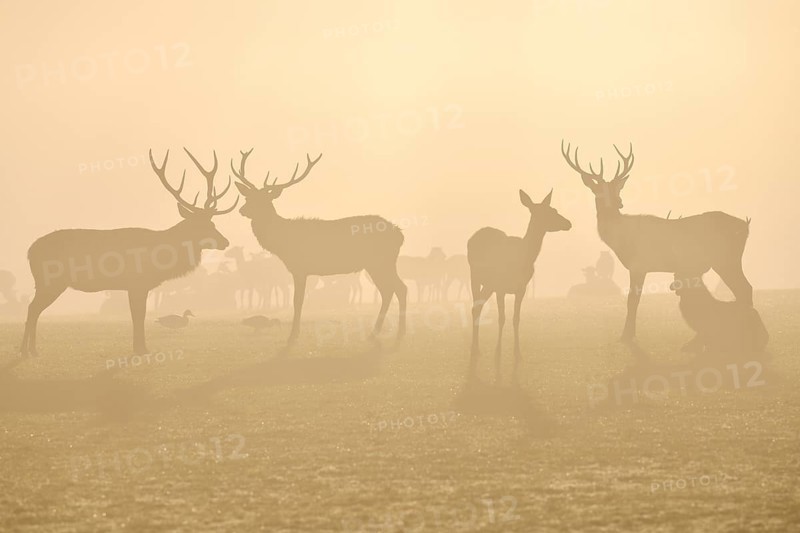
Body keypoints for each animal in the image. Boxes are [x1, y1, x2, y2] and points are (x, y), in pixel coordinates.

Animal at [20, 148, 238, 356]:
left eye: (213, 223)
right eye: (203, 226)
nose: (225, 241)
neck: (161, 256)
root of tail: (30, 251)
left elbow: (138, 316)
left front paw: (139, 347)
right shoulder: (137, 284)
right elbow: (138, 316)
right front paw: (142, 349)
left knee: (33, 309)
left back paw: (31, 349)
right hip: (50, 281)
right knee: (32, 308)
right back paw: (27, 350)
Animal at [231, 149, 407, 348]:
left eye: (263, 199)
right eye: (248, 197)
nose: (242, 210)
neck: (283, 241)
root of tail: (400, 234)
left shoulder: (300, 268)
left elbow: (297, 301)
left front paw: (293, 336)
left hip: (381, 262)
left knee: (399, 289)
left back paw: (398, 333)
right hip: (376, 265)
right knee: (390, 290)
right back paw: (375, 333)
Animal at [468, 189, 572, 382]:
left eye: (553, 209)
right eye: (549, 211)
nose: (568, 223)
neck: (524, 256)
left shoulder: (521, 288)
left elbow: (516, 318)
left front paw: (518, 354)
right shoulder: (501, 287)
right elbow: (502, 318)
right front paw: (498, 352)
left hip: (489, 285)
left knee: (477, 307)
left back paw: (477, 348)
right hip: (474, 276)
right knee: (474, 307)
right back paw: (474, 348)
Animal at [561, 141, 753, 347]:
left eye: (618, 189)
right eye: (599, 190)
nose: (619, 202)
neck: (622, 237)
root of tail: (745, 225)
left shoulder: (639, 265)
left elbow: (632, 300)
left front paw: (626, 336)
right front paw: (628, 334)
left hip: (726, 259)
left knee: (744, 288)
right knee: (743, 289)